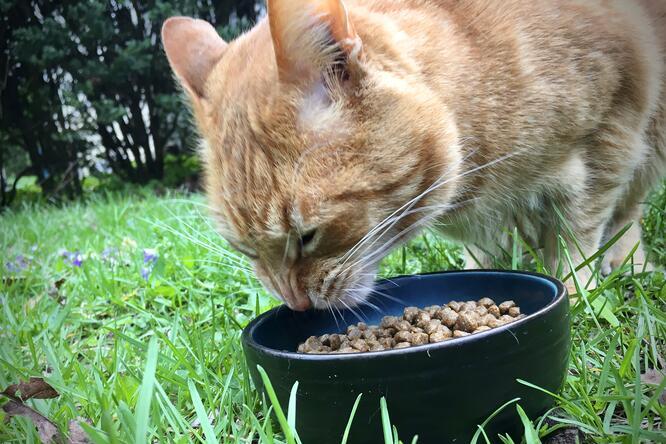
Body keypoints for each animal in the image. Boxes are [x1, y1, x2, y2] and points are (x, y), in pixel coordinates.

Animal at [160, 0, 660, 310]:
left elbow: (579, 239)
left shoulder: (611, 132)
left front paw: (578, 297)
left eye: (308, 236)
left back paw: (632, 266)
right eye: (244, 249)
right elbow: (485, 257)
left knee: (626, 215)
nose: (297, 306)